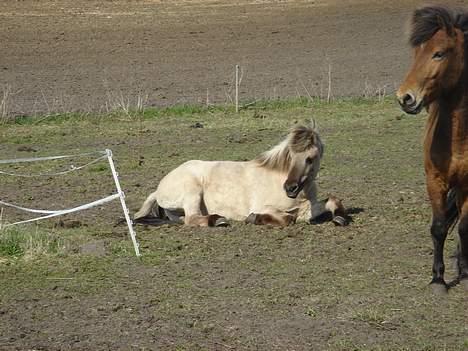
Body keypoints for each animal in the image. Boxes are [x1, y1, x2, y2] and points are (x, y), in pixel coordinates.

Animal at [133, 124, 346, 228]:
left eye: (310, 158)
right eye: (290, 155)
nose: (290, 188)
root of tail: (159, 189)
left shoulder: (305, 209)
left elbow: (332, 201)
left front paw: (340, 219)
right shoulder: (265, 206)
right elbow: (286, 219)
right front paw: (254, 218)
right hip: (192, 192)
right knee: (191, 219)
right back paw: (218, 220)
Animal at [396, 6, 468, 294]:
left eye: (439, 53)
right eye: (416, 53)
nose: (405, 97)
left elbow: (464, 227)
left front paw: (464, 273)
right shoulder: (435, 180)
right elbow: (438, 228)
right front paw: (438, 279)